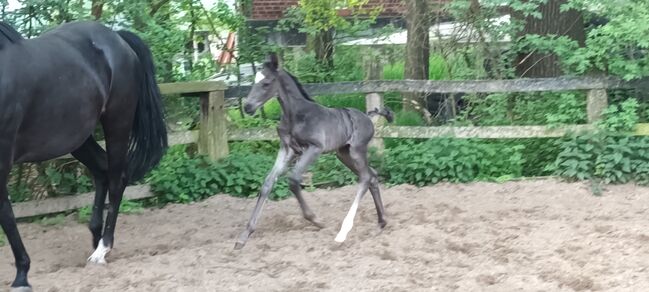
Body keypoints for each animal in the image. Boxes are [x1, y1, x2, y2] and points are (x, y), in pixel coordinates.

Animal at [0, 21, 167, 292]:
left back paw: (102, 249)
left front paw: (22, 276)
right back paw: (95, 238)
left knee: (117, 178)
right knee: (101, 170)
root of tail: (117, 37)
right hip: (78, 136)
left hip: (117, 123)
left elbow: (6, 213)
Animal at [235, 53, 392, 249]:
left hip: (357, 150)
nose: (248, 107)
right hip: (343, 154)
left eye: (266, 83)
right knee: (372, 175)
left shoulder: (314, 148)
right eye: (254, 81)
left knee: (365, 177)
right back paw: (381, 222)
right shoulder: (287, 149)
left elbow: (294, 180)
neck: (296, 115)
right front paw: (244, 235)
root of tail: (368, 116)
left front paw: (316, 220)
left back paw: (343, 232)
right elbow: (268, 182)